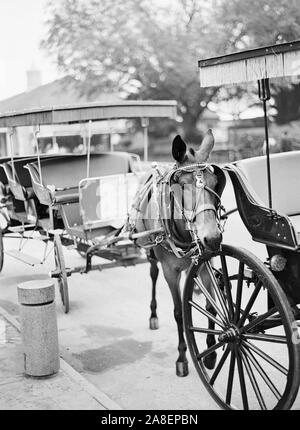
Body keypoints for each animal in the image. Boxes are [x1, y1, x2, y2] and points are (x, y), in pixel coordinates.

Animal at [131, 130, 225, 376]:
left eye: (215, 183)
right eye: (183, 186)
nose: (213, 238)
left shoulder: (205, 264)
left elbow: (210, 306)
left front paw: (210, 354)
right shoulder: (170, 271)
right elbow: (179, 313)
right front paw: (182, 358)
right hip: (152, 252)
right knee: (153, 274)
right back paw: (153, 315)